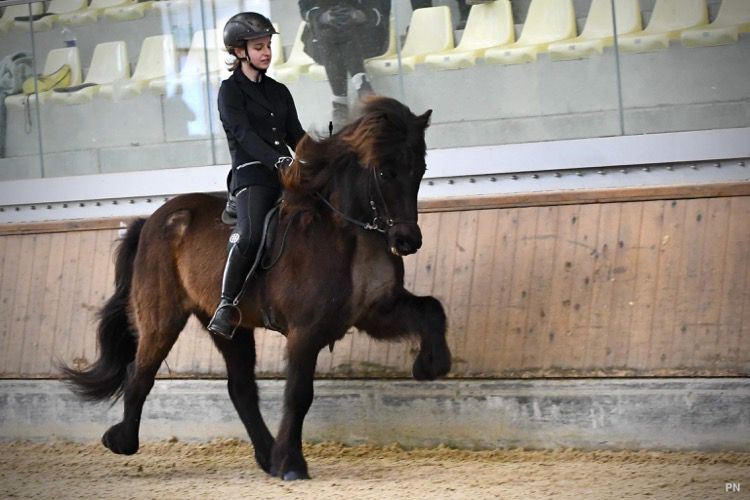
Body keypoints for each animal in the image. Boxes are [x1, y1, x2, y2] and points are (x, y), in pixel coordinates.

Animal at [63, 96, 452, 480]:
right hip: (163, 316)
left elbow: (432, 309)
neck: (351, 235)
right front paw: (292, 463)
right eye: (385, 172)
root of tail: (151, 220)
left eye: (420, 170)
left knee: (241, 389)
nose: (407, 241)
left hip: (226, 327)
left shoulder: (375, 312)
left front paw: (431, 366)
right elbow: (298, 394)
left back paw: (267, 457)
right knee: (141, 372)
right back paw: (123, 441)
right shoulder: (305, 332)